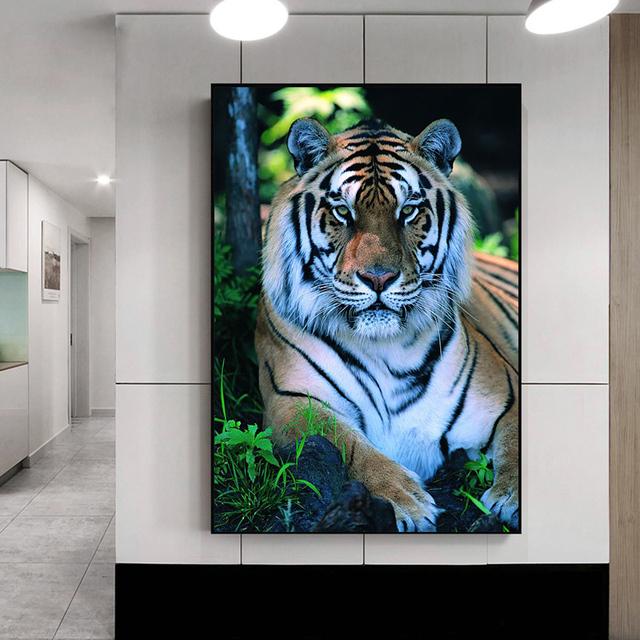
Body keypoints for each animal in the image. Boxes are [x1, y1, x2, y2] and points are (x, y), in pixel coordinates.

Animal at [255, 116, 519, 532]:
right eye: (342, 211)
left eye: (408, 210)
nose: (378, 278)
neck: (385, 347)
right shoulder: (293, 404)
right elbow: (351, 449)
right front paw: (406, 502)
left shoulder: (506, 396)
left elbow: (519, 444)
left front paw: (511, 497)